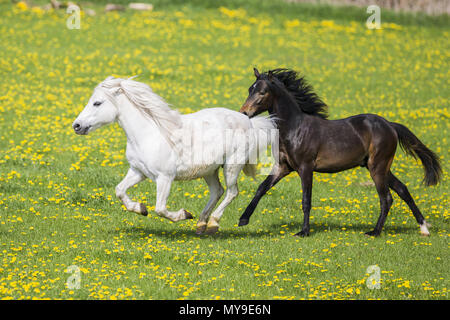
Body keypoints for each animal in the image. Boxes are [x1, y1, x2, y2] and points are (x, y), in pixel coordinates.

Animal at [73, 76, 274, 234]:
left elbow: (160, 209)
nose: (77, 126)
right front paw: (140, 208)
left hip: (232, 166)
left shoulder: (165, 177)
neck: (148, 134)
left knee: (232, 192)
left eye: (97, 103)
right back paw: (201, 224)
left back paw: (212, 224)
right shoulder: (138, 171)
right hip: (210, 170)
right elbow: (119, 191)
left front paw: (184, 214)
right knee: (217, 191)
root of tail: (249, 122)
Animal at [239, 67, 442, 236]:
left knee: (386, 198)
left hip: (377, 167)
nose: (244, 113)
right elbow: (261, 188)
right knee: (402, 190)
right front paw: (242, 220)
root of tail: (390, 125)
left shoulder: (305, 168)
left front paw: (304, 232)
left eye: (262, 92)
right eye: (250, 89)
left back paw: (374, 232)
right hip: (380, 167)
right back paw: (424, 228)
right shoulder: (283, 167)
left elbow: (306, 200)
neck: (295, 128)